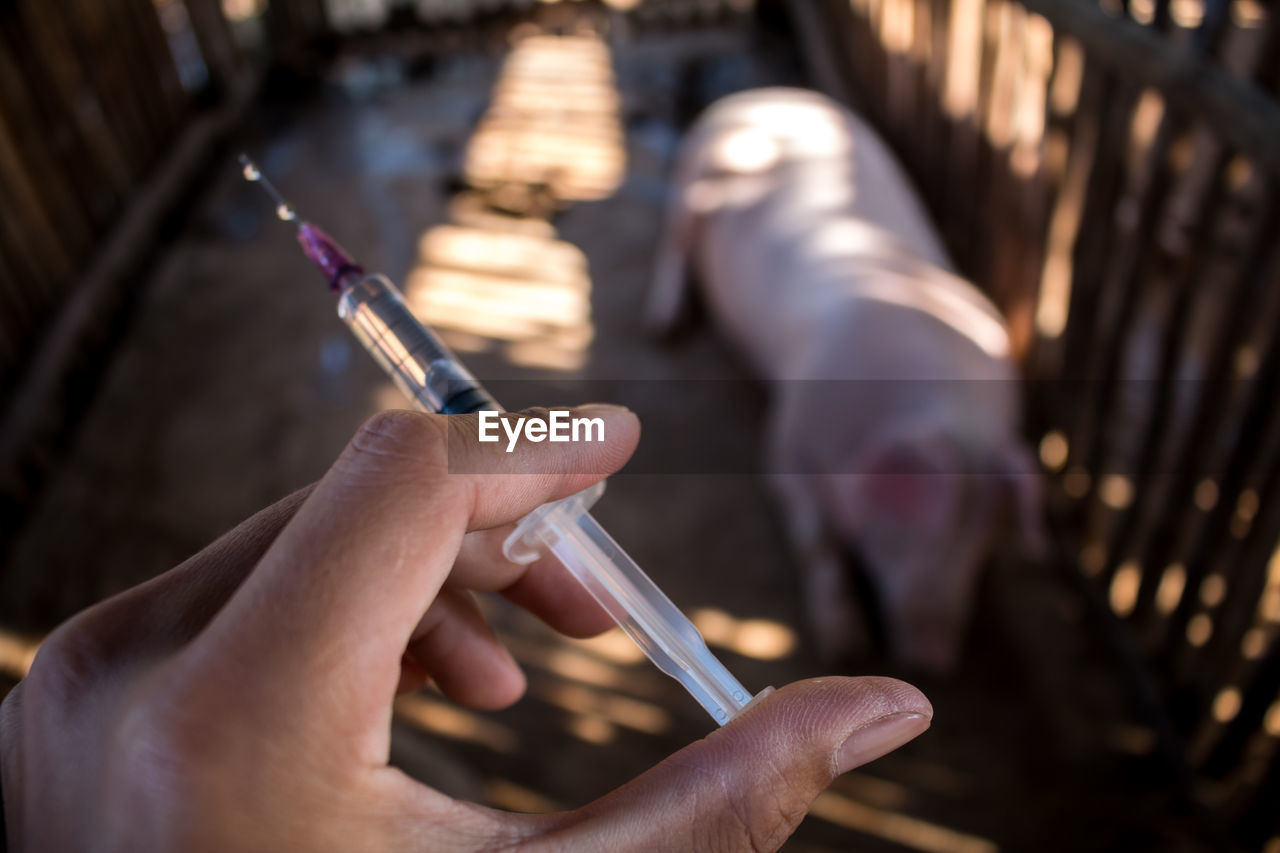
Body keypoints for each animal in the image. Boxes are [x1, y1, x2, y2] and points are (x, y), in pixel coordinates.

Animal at [650, 87, 1039, 671]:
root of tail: (755, 97)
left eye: (982, 540)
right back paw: (661, 327)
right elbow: (817, 539)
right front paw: (846, 647)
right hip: (697, 172)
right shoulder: (787, 438)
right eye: (922, 526)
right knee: (679, 229)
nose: (936, 659)